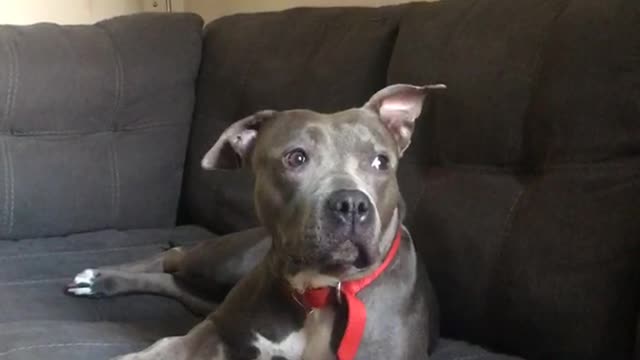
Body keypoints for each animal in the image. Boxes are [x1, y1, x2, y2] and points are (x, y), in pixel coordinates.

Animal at [65, 83, 444, 360]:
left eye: (381, 162)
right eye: (296, 158)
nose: (351, 203)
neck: (322, 292)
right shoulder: (219, 328)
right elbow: (167, 347)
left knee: (175, 280)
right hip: (225, 263)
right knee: (174, 258)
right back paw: (99, 278)